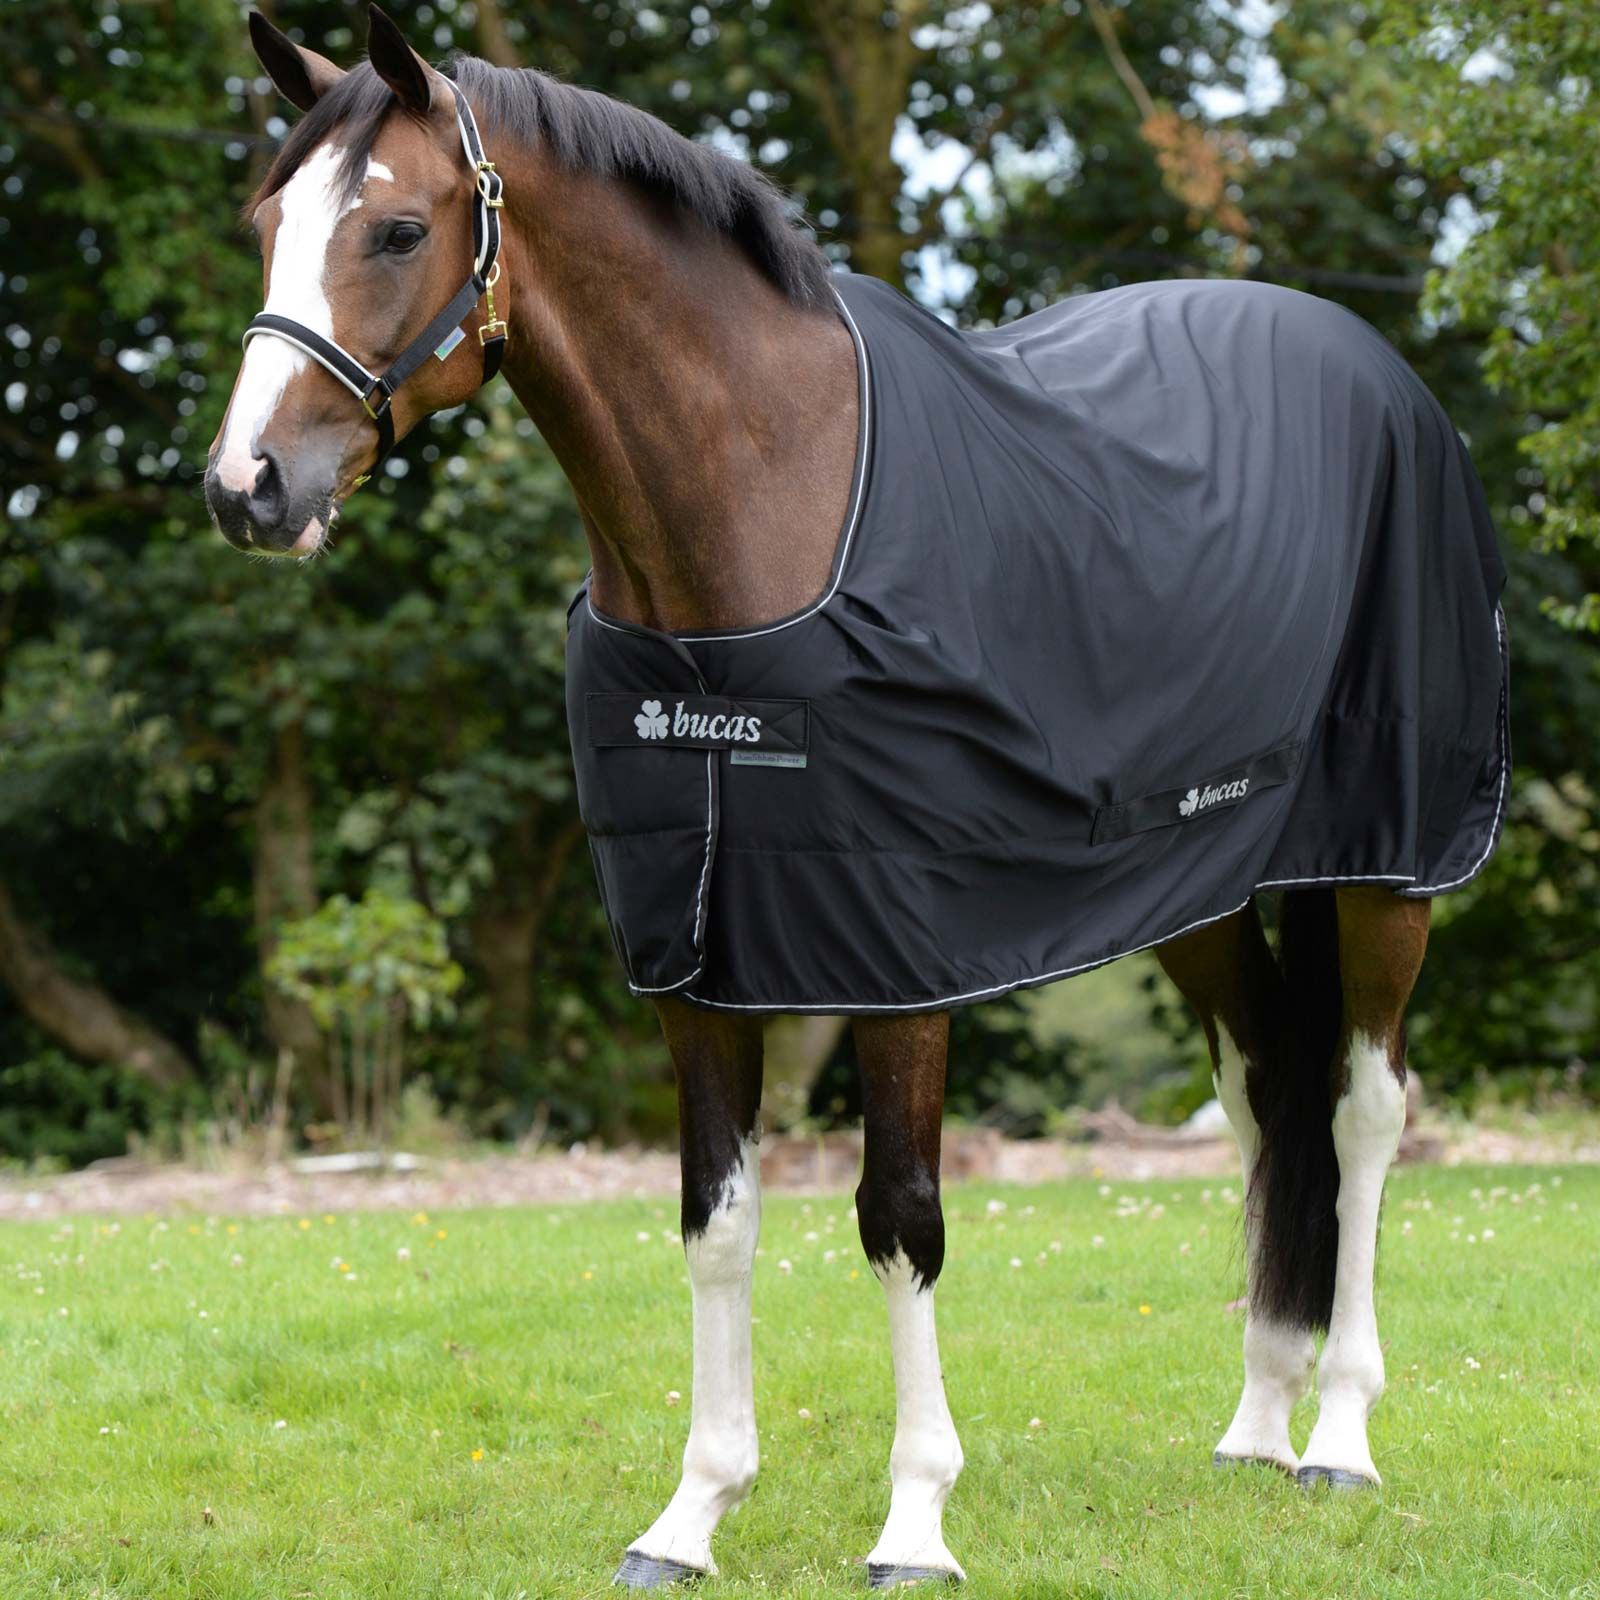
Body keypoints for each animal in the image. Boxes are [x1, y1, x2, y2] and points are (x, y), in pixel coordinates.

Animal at [206, 9, 1509, 1589]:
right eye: (264, 223)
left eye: (397, 228)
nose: (248, 487)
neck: (759, 514)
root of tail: (1382, 375)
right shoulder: (692, 956)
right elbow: (715, 1223)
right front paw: (690, 1515)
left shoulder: (900, 957)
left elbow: (901, 1221)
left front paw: (915, 1520)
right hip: (1188, 884)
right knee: (1267, 1093)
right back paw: (1258, 1421)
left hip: (1389, 865)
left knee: (1367, 1109)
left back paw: (1339, 1439)